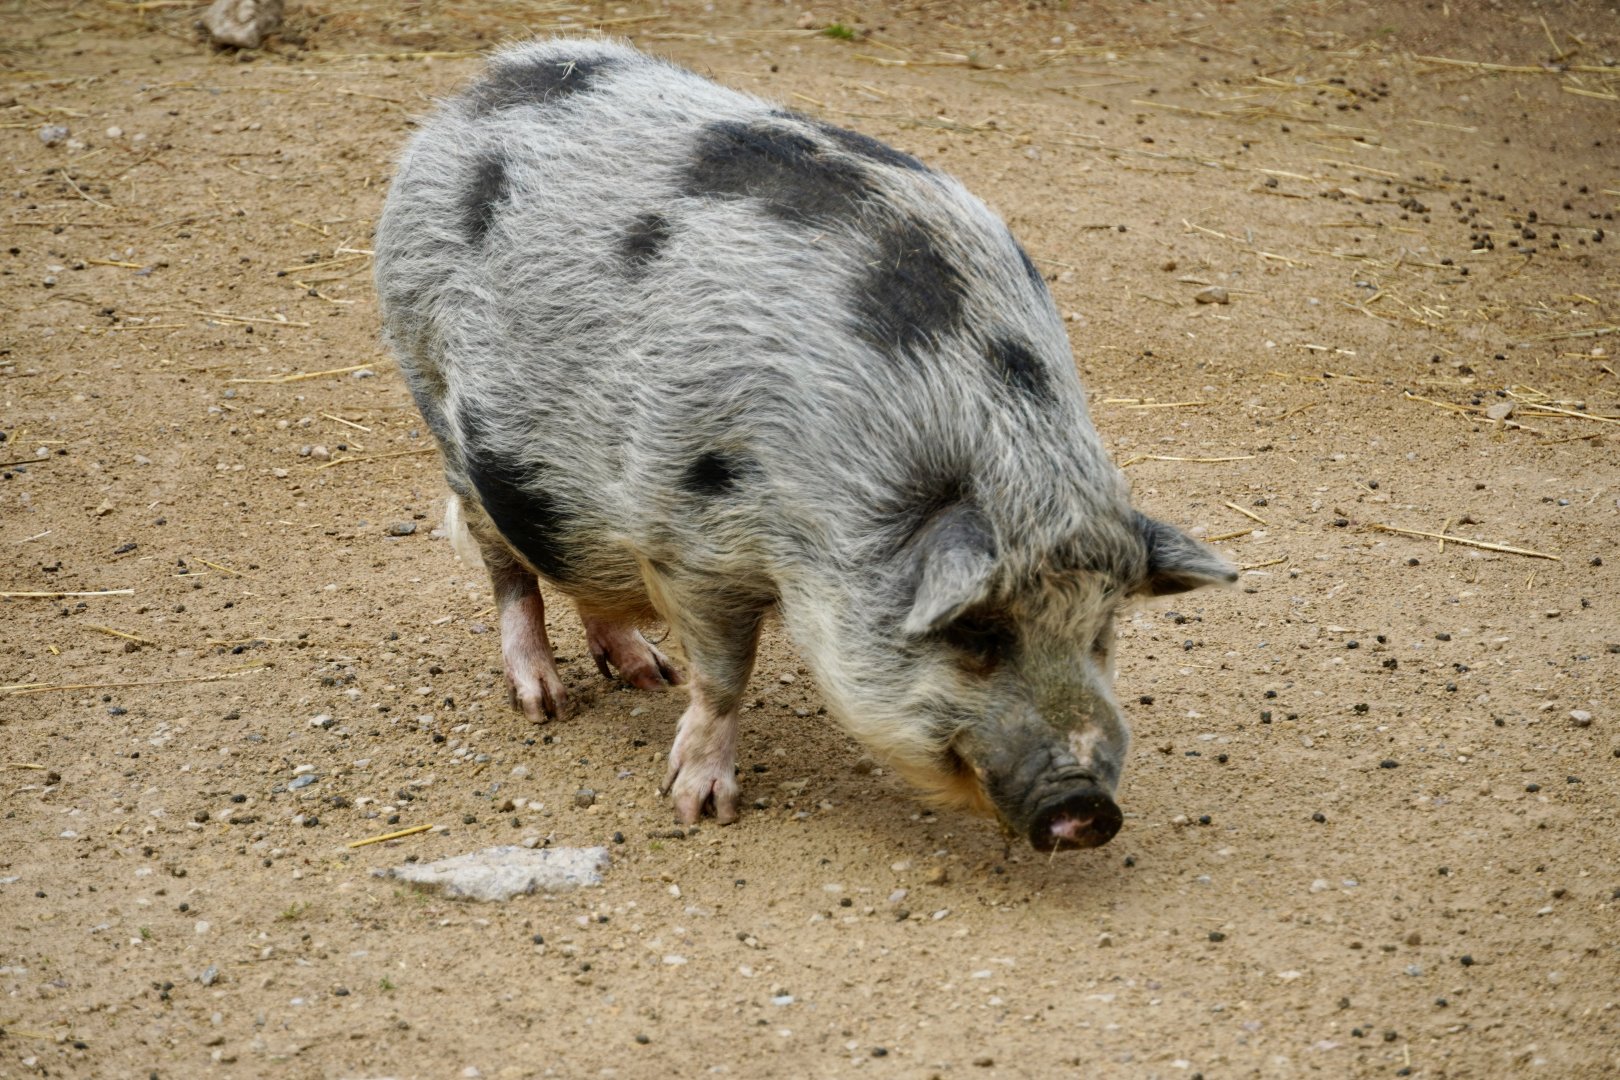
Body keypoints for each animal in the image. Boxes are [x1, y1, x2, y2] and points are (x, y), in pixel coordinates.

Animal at [374, 39, 1235, 851]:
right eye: (976, 634)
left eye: (1101, 629)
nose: (1088, 807)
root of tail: (477, 90)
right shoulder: (690, 539)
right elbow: (725, 678)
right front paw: (700, 808)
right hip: (433, 387)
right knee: (506, 564)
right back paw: (544, 704)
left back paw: (647, 675)